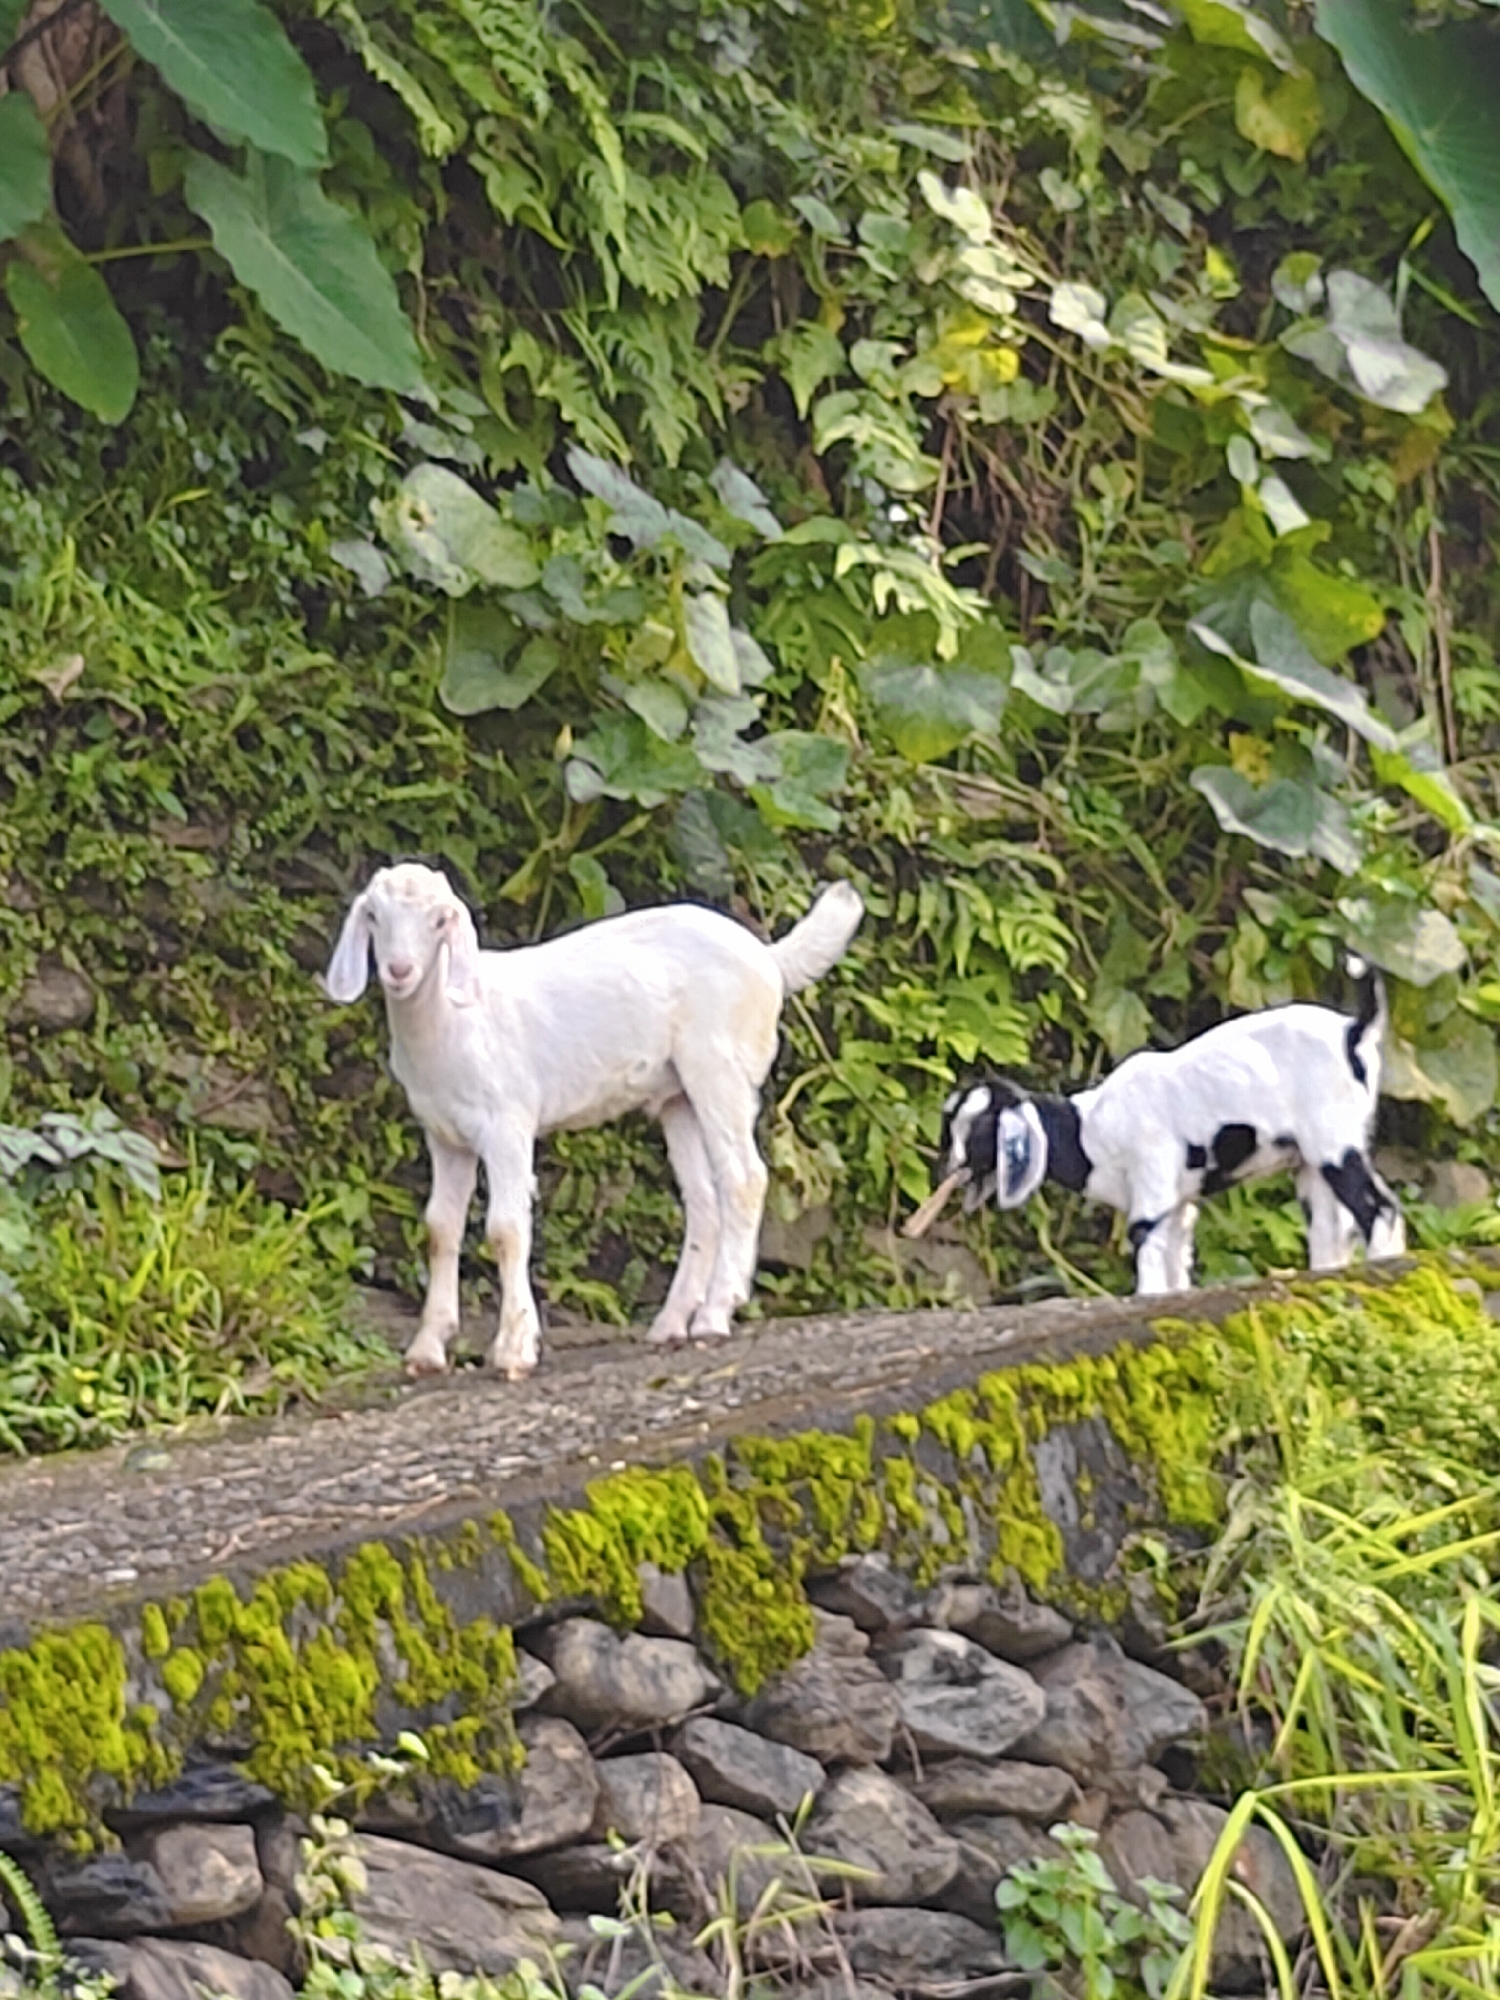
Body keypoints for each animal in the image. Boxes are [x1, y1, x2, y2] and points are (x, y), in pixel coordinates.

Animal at [324, 863, 863, 1377]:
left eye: (440, 920)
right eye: (373, 916)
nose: (399, 970)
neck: (453, 1022)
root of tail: (769, 959)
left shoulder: (507, 1124)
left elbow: (505, 1229)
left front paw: (516, 1348)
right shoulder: (445, 1136)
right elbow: (440, 1229)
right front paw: (427, 1348)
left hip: (720, 1067)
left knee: (744, 1179)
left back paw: (714, 1315)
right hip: (678, 1098)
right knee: (703, 1199)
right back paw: (672, 1323)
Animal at [907, 959, 1406, 1295]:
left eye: (977, 1133)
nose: (944, 1172)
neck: (1088, 1130)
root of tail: (1353, 1032)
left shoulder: (1152, 1177)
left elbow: (1144, 1241)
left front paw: (1144, 1297)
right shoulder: (1179, 1204)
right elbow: (1174, 1259)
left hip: (1333, 1144)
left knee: (1378, 1208)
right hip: (1312, 1162)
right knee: (1330, 1228)